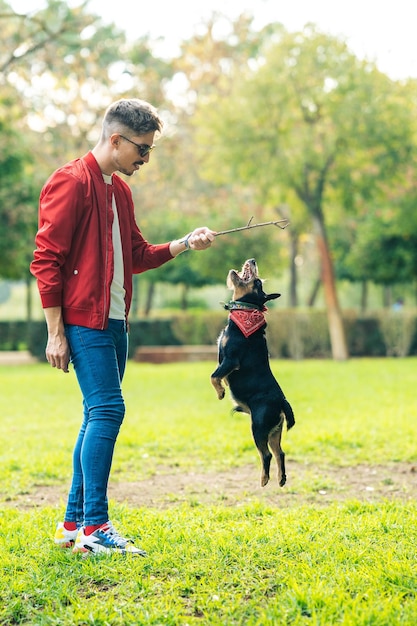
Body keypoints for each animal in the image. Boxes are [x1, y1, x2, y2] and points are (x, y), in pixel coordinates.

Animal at [210, 258, 294, 488]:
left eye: (257, 281)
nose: (253, 260)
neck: (246, 311)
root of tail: (282, 402)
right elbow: (218, 375)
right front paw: (223, 387)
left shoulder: (230, 359)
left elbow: (214, 376)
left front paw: (221, 392)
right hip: (274, 431)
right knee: (280, 453)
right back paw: (280, 478)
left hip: (258, 427)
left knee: (266, 455)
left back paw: (264, 479)